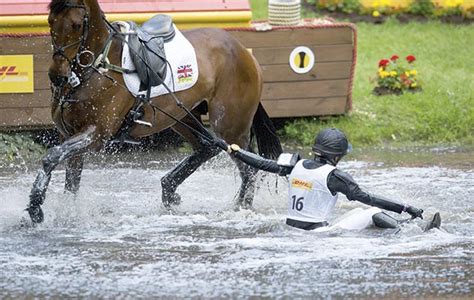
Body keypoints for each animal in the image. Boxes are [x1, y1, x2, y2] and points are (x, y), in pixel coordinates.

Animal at [26, 0, 282, 223]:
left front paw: (36, 208)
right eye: (50, 21)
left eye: (77, 25)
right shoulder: (70, 134)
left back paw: (240, 208)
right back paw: (169, 190)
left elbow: (51, 157)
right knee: (207, 147)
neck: (96, 67)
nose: (57, 76)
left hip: (231, 126)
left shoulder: (97, 134)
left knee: (248, 169)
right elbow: (71, 181)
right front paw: (66, 213)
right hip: (181, 116)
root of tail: (244, 51)